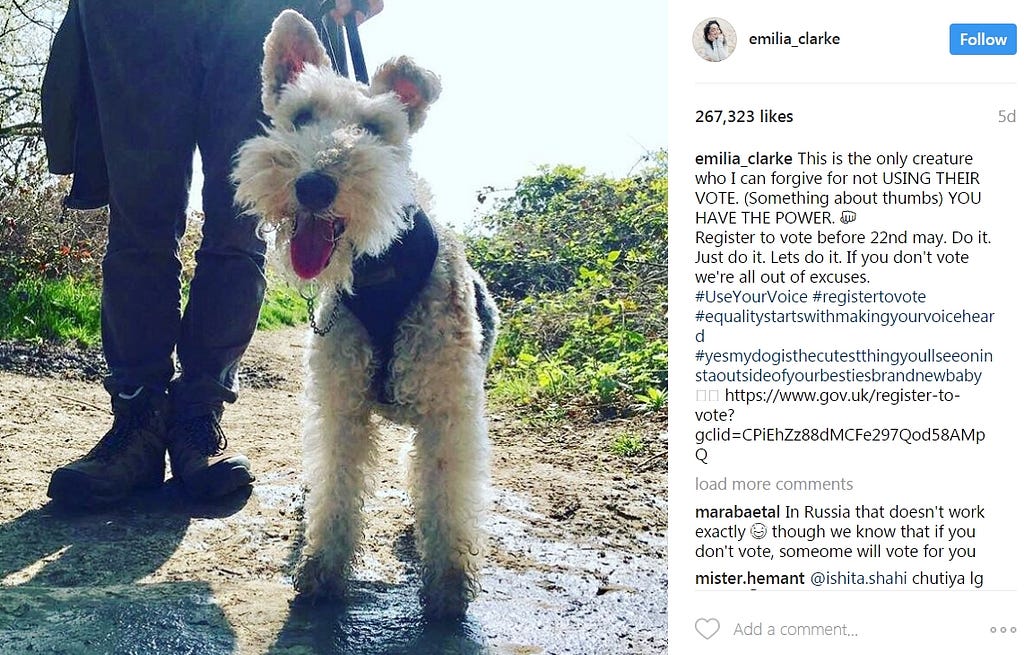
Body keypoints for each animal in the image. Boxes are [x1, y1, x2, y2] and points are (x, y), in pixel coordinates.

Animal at [232, 10, 498, 619]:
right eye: (301, 116)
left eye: (377, 129)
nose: (314, 185)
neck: (380, 269)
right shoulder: (341, 406)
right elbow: (336, 487)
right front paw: (322, 570)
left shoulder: (448, 410)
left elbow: (446, 492)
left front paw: (448, 586)